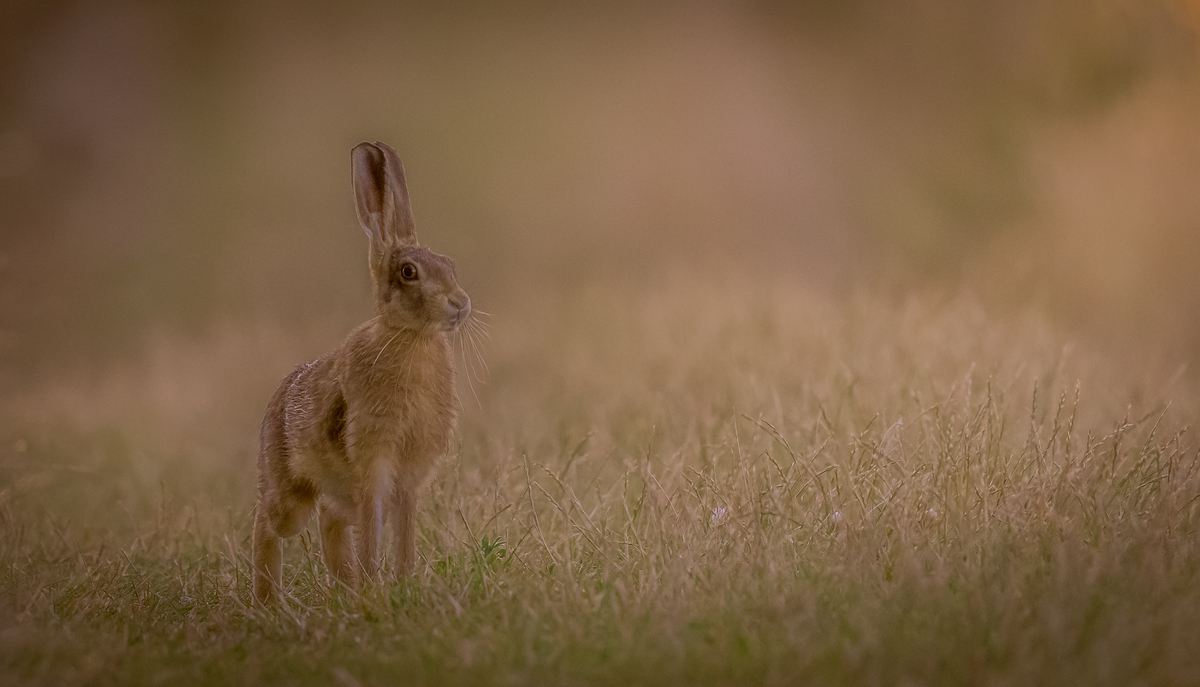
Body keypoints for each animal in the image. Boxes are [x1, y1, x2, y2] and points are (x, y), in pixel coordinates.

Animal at [252, 141, 471, 604]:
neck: (411, 336)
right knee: (269, 521)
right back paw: (268, 601)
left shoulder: (408, 479)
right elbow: (373, 530)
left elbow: (404, 532)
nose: (461, 304)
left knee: (330, 520)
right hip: (292, 494)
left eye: (449, 263)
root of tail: (274, 402)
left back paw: (347, 589)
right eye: (408, 272)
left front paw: (403, 581)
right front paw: (378, 584)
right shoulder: (375, 462)